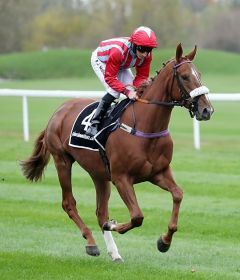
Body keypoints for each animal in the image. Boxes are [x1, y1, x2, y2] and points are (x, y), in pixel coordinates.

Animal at [20, 42, 214, 262]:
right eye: (185, 76)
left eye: (199, 74)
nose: (207, 110)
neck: (145, 127)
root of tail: (60, 110)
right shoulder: (121, 178)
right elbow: (137, 216)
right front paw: (114, 225)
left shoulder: (159, 173)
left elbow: (178, 195)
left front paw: (164, 241)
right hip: (62, 160)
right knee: (69, 203)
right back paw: (91, 243)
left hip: (99, 174)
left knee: (100, 212)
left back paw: (114, 253)